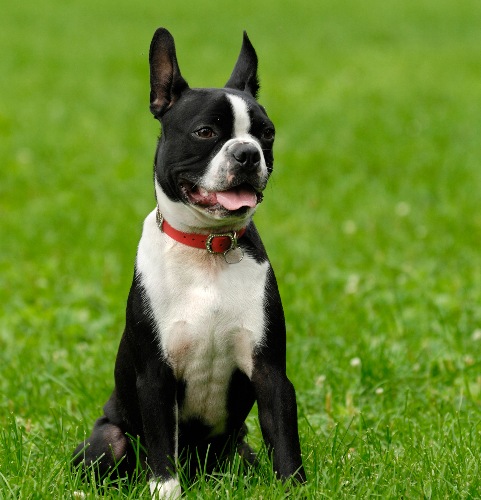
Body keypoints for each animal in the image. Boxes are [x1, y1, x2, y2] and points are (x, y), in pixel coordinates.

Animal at [71, 28, 304, 500]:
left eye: (267, 134)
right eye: (204, 132)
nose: (248, 153)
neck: (207, 248)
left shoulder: (271, 372)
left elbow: (286, 442)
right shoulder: (155, 377)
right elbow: (163, 450)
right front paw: (165, 489)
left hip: (239, 448)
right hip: (111, 436)